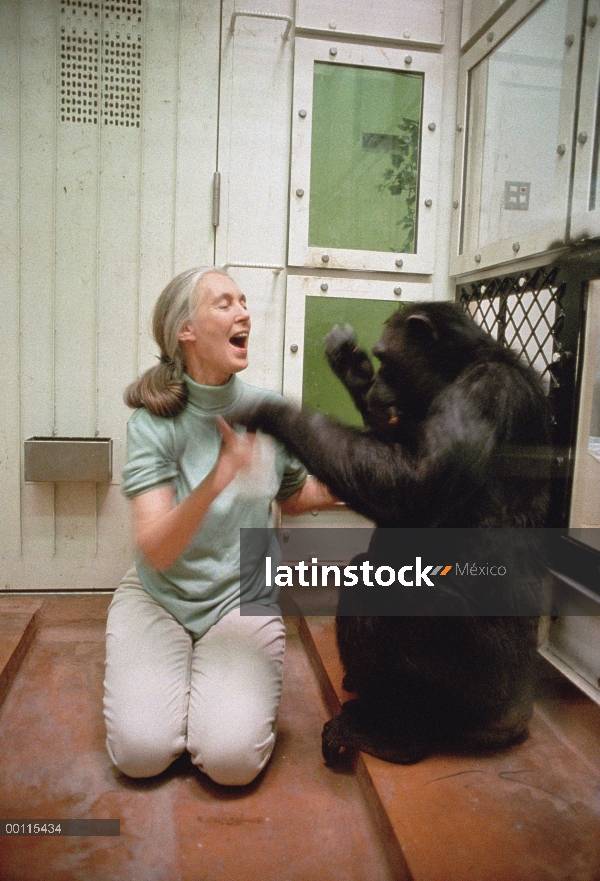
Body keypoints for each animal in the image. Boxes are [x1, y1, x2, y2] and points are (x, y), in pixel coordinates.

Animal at [232, 302, 552, 764]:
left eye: (388, 360)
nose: (377, 379)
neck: (456, 370)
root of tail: (520, 714)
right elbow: (393, 449)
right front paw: (351, 369)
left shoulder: (482, 395)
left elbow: (412, 485)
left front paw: (271, 411)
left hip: (489, 691)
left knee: (389, 590)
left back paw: (394, 732)